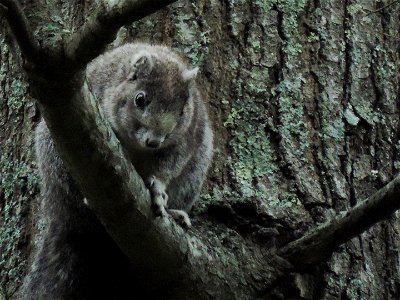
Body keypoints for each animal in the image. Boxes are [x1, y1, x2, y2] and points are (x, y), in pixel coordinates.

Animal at [21, 43, 216, 298]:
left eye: (183, 111)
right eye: (140, 99)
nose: (154, 141)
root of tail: (60, 213)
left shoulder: (185, 139)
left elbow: (169, 165)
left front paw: (158, 189)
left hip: (195, 170)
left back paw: (175, 213)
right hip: (56, 156)